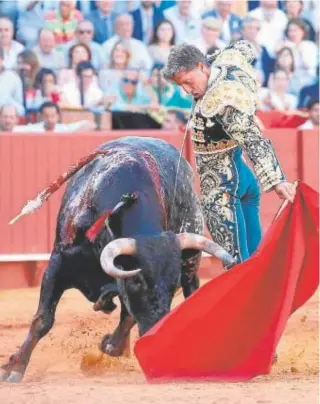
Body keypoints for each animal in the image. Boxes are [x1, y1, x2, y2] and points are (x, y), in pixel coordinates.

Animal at [0, 136, 235, 382]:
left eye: (172, 286)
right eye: (137, 281)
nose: (153, 330)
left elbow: (127, 316)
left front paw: (111, 345)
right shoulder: (58, 263)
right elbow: (42, 319)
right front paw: (14, 368)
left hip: (190, 263)